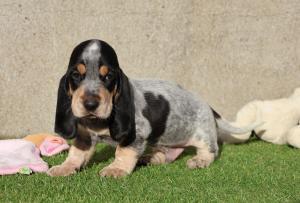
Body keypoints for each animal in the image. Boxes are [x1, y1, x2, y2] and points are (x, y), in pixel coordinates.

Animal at [47, 39, 260, 178]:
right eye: (76, 75)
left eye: (108, 76)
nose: (90, 104)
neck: (98, 123)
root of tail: (207, 105)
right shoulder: (84, 137)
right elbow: (76, 154)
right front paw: (64, 168)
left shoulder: (137, 133)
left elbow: (123, 152)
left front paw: (116, 169)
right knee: (168, 155)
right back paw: (148, 158)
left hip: (203, 136)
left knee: (211, 151)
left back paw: (199, 160)